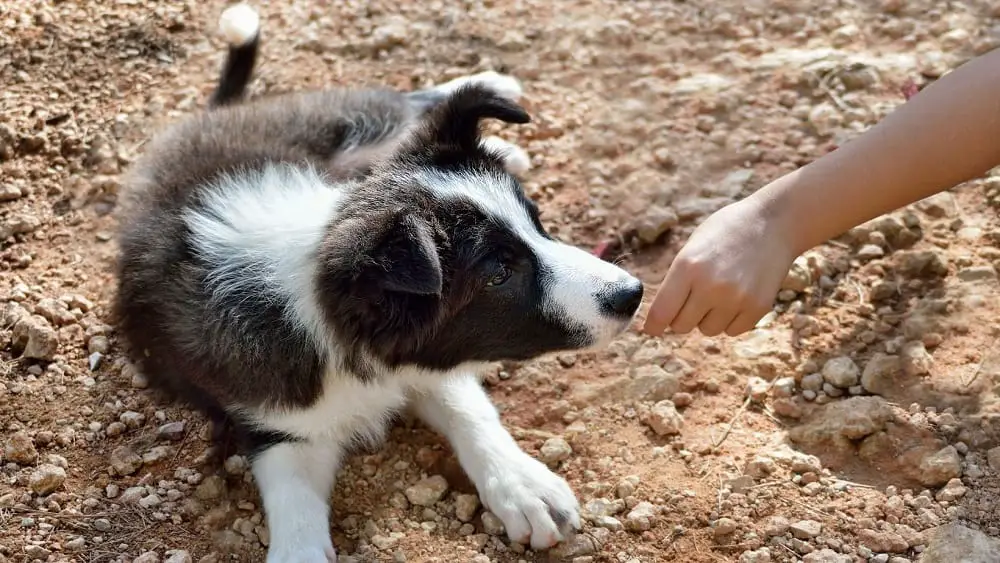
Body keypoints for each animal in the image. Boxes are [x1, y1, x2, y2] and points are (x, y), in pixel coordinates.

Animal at [113, 5, 644, 563]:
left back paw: (487, 86)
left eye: (538, 223)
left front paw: (522, 485)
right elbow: (295, 501)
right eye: (499, 273)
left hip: (337, 124)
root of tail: (213, 117)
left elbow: (468, 408)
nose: (632, 293)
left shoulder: (424, 351)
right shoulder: (273, 420)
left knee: (397, 106)